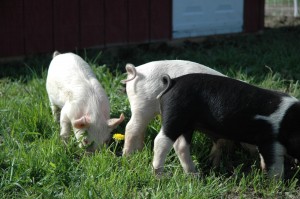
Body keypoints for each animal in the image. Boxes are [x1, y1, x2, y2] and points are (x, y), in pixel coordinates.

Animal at [155, 72, 300, 177]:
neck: (291, 122)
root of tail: (172, 82)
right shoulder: (270, 138)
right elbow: (275, 164)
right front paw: (275, 183)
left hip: (187, 123)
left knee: (181, 145)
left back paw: (194, 175)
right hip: (175, 115)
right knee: (161, 141)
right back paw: (160, 175)